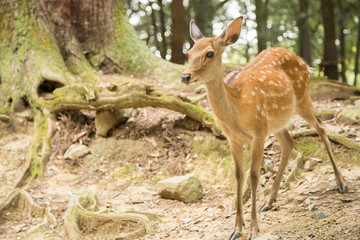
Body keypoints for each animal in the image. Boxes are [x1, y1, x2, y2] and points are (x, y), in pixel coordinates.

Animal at [181, 16, 348, 240]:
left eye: (209, 53)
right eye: (189, 53)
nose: (185, 76)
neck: (237, 110)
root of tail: (305, 63)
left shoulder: (258, 133)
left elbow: (253, 175)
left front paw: (253, 229)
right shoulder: (233, 139)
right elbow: (238, 175)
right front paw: (236, 228)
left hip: (302, 98)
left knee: (321, 127)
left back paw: (341, 183)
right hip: (276, 121)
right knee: (289, 142)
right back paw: (269, 202)